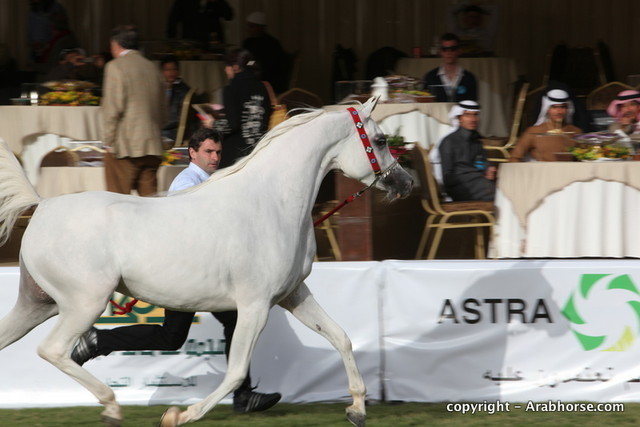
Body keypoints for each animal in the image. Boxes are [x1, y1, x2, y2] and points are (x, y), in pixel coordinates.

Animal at [0, 96, 412, 426]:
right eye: (379, 141)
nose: (406, 184)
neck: (271, 202)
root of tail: (43, 205)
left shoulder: (292, 294)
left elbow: (341, 337)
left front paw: (356, 409)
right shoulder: (255, 305)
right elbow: (236, 370)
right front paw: (179, 415)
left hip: (37, 303)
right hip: (83, 303)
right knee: (53, 350)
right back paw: (112, 406)